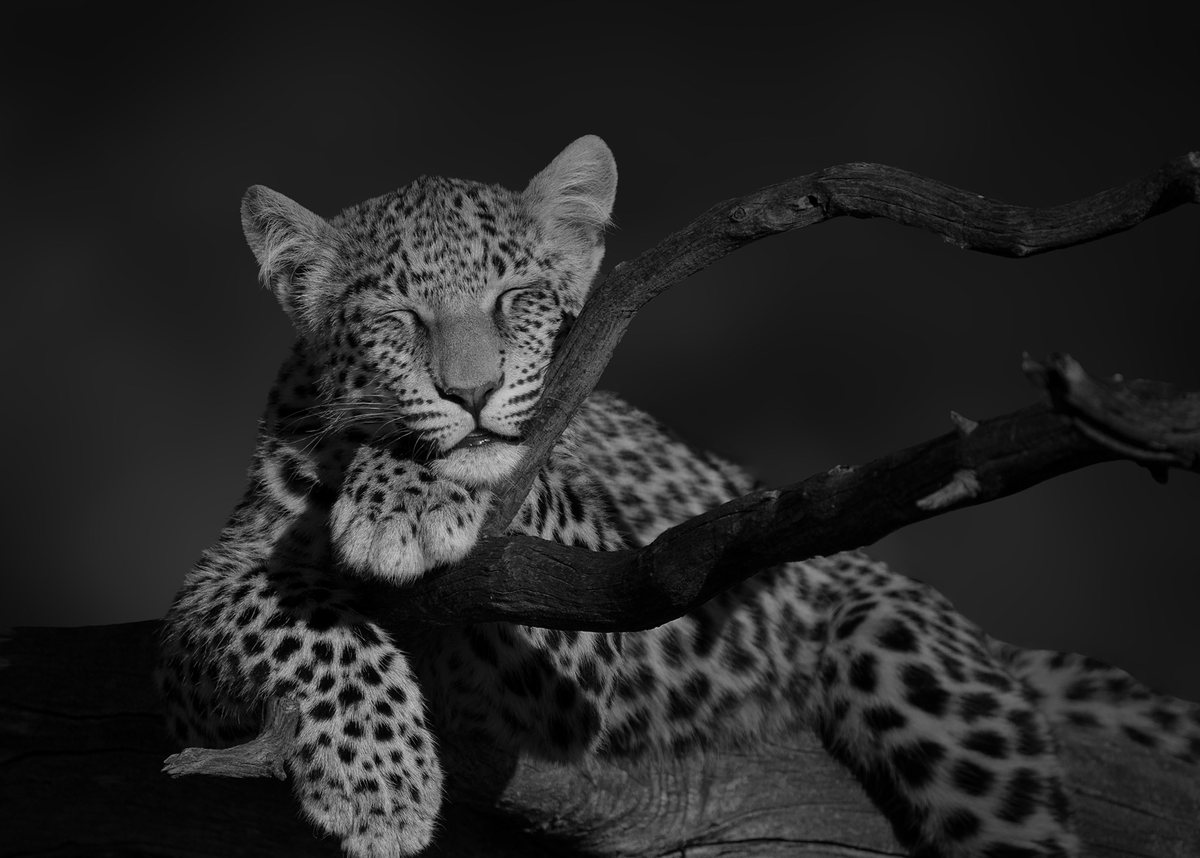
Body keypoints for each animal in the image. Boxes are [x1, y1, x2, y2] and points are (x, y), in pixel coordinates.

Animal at [158, 135, 1200, 857]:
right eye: (397, 318)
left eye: (515, 300)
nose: (471, 393)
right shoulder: (192, 633)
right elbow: (298, 617)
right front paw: (379, 782)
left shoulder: (614, 639)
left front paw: (406, 498)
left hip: (909, 661)